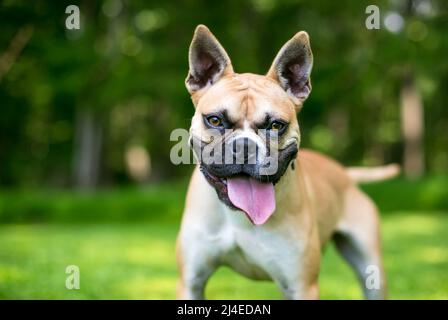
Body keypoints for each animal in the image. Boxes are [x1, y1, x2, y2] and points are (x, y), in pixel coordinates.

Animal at [175, 25, 400, 300]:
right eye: (215, 120)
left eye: (276, 125)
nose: (244, 146)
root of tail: (344, 174)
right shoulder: (191, 283)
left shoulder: (301, 286)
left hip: (371, 271)